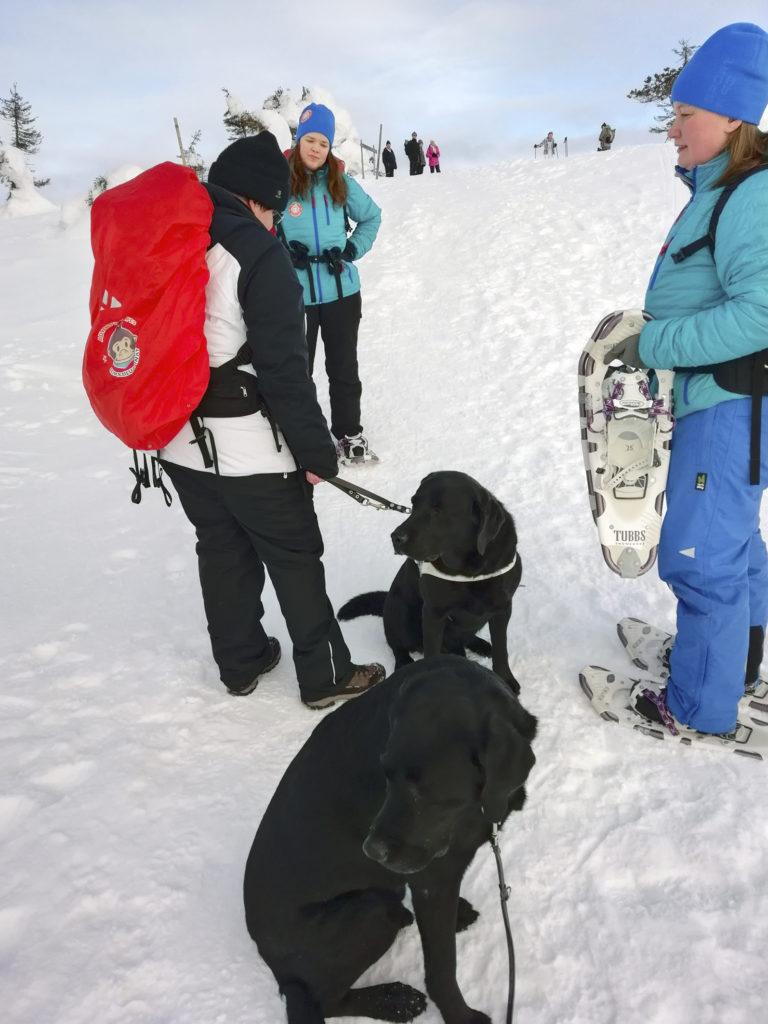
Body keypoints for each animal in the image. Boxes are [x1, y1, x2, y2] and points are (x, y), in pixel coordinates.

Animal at [243, 659, 536, 1019]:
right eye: (386, 775)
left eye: (425, 794)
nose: (372, 851)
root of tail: (278, 971)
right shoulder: (432, 878)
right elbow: (442, 966)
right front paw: (461, 1016)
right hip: (369, 911)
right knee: (328, 1001)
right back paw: (396, 1001)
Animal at [337, 473, 524, 696]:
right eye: (414, 504)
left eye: (437, 510)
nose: (395, 537)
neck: (469, 570)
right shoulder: (433, 613)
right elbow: (431, 652)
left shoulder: (503, 608)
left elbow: (501, 648)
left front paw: (505, 678)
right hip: (399, 612)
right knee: (396, 643)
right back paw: (404, 663)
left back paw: (480, 645)